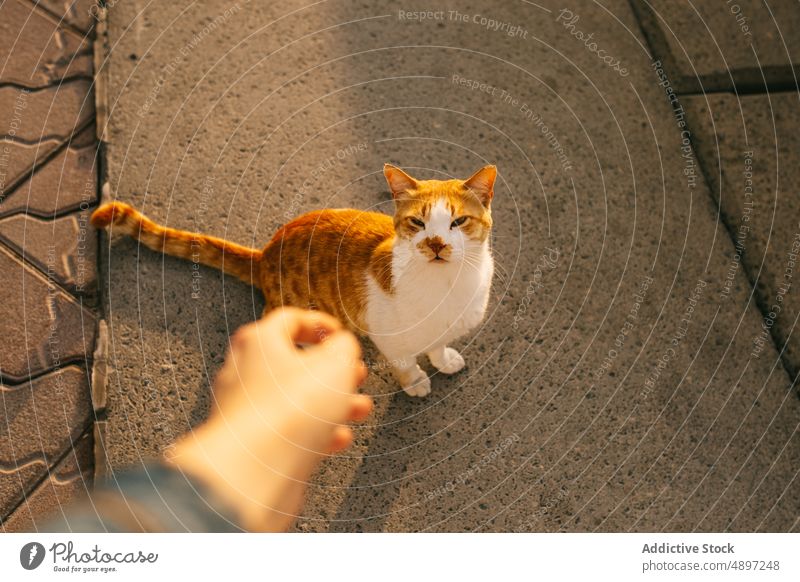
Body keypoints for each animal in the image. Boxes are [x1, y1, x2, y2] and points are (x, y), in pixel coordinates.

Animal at [90, 167, 496, 400]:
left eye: (458, 222)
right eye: (417, 223)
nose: (436, 243)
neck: (447, 287)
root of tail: (265, 255)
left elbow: (438, 345)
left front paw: (443, 359)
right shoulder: (388, 337)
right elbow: (406, 363)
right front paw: (415, 382)